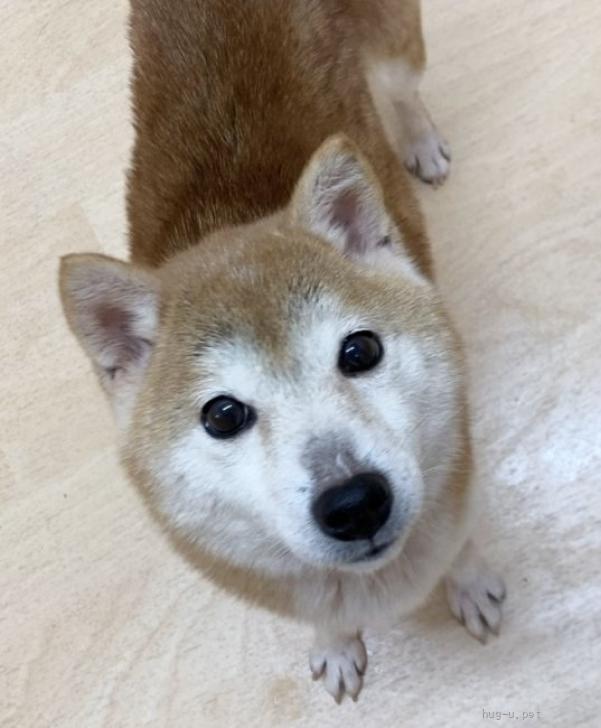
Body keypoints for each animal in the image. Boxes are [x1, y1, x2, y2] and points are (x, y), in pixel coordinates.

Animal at [59, 0, 506, 702]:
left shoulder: (454, 490)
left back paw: (417, 143)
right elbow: (328, 622)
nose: (354, 503)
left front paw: (471, 586)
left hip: (396, 52)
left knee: (402, 94)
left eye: (360, 351)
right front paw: (338, 645)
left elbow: (459, 552)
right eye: (222, 415)